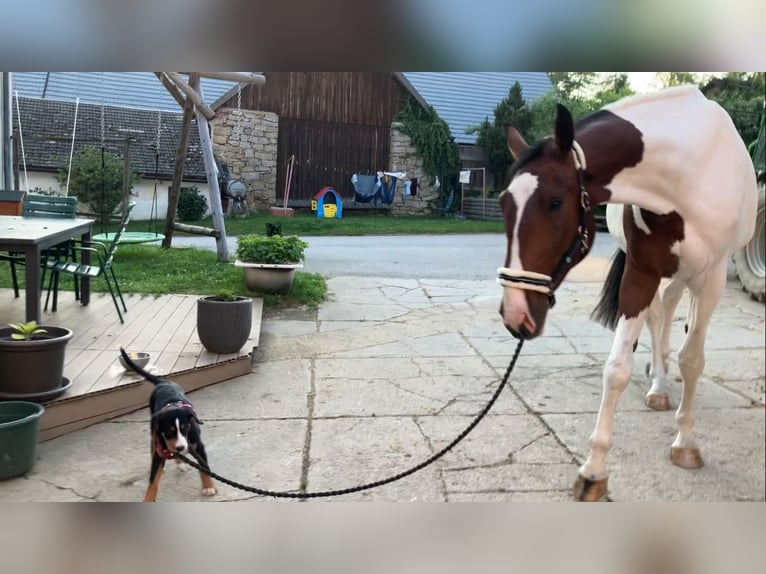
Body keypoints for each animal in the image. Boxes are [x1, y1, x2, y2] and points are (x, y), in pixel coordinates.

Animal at [500, 85, 760, 504]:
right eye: (504, 204)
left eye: (555, 202)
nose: (515, 312)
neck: (690, 174)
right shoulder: (641, 273)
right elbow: (617, 368)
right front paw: (593, 472)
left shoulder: (712, 279)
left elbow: (693, 360)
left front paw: (685, 442)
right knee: (659, 314)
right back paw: (657, 384)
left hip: (691, 278)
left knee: (673, 313)